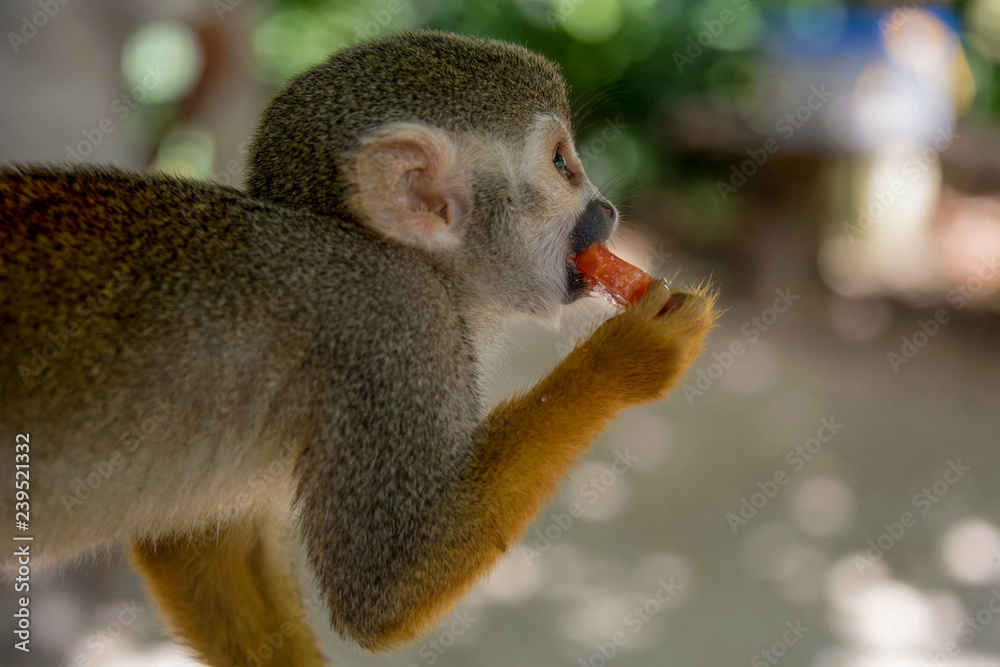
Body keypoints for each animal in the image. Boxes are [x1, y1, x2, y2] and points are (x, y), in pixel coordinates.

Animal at [0, 31, 718, 666]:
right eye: (563, 164)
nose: (607, 211)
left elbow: (200, 544)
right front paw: (628, 356)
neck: (403, 257)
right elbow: (380, 593)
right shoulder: (397, 329)